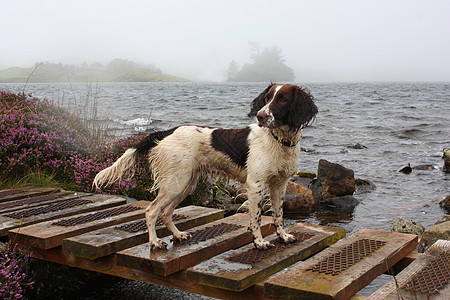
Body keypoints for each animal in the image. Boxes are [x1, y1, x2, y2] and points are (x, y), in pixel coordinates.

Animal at [92, 83, 316, 250]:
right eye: (267, 98)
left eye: (283, 99)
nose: (260, 116)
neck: (280, 141)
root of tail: (167, 131)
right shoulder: (256, 185)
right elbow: (256, 218)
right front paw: (259, 242)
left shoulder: (279, 184)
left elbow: (279, 215)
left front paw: (283, 236)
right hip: (175, 183)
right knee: (151, 210)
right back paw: (154, 242)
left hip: (185, 184)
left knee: (166, 212)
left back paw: (178, 235)